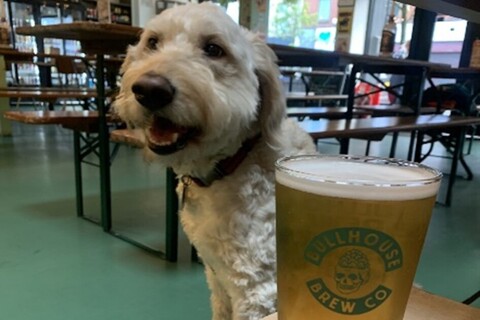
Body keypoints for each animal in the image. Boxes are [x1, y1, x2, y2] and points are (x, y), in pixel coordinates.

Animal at [112, 3, 316, 320]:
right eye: (153, 42)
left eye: (213, 49)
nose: (150, 89)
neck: (230, 164)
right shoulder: (217, 279)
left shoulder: (257, 291)